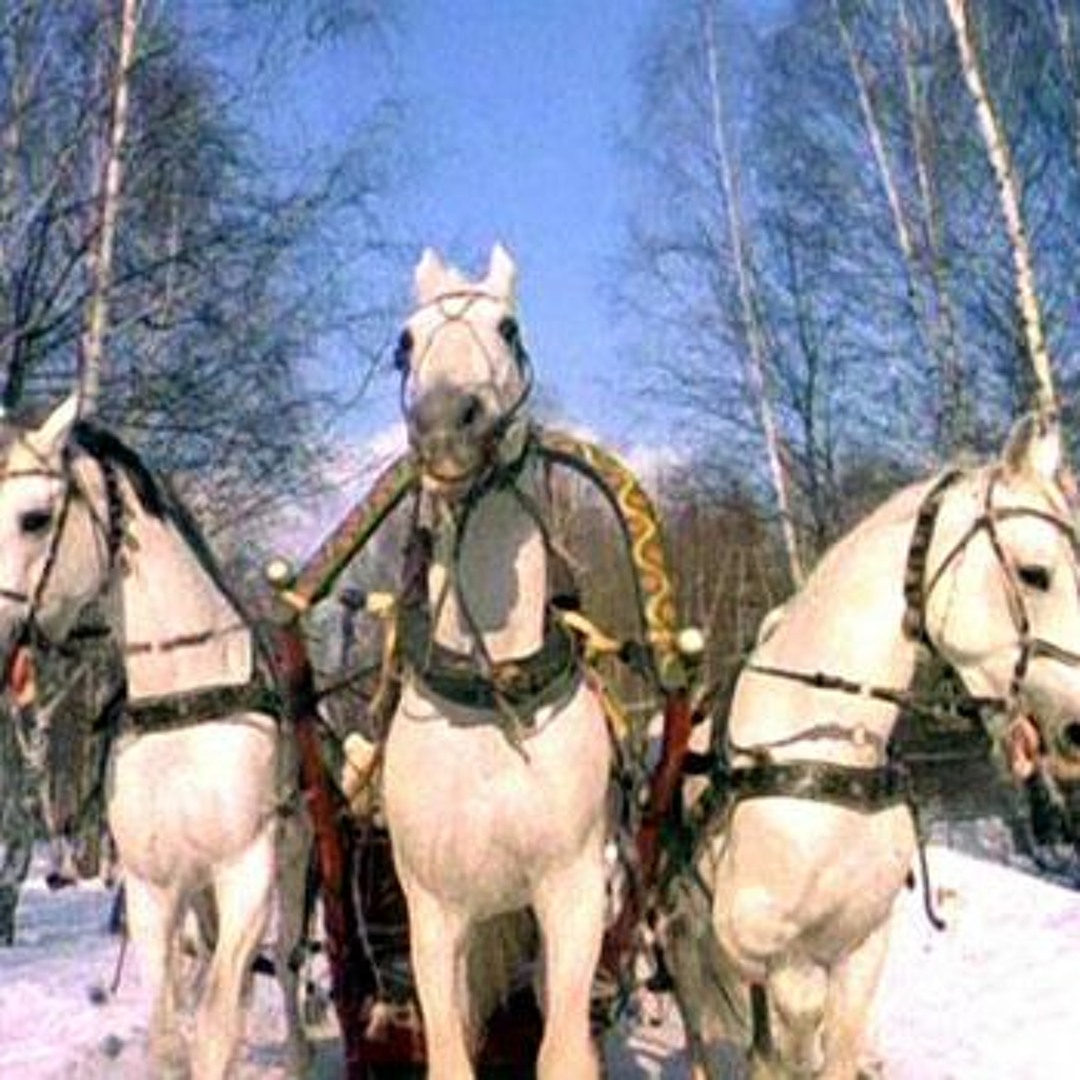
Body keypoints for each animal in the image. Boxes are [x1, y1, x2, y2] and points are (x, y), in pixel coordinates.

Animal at [0, 398, 311, 1079]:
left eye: (35, 518)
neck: (185, 700)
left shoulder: (246, 871)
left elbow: (217, 1027)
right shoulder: (152, 889)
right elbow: (171, 1038)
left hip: (291, 872)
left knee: (290, 968)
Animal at [380, 244, 612, 1079]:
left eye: (508, 329)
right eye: (406, 343)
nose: (447, 423)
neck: (491, 696)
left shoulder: (575, 895)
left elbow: (565, 1053)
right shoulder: (435, 914)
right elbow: (451, 1053)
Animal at [663, 412, 1080, 1079]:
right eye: (1035, 574)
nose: (1076, 731)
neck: (828, 752)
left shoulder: (863, 941)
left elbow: (836, 1042)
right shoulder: (763, 945)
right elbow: (798, 1018)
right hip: (683, 946)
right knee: (703, 1032)